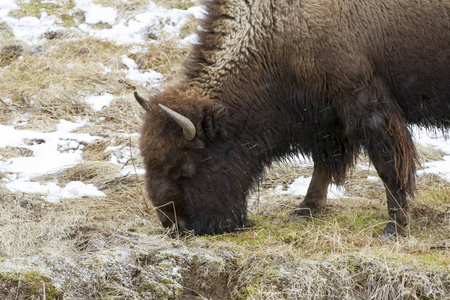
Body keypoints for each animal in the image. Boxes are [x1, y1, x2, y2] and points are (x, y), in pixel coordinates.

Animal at [135, 0, 448, 238]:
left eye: (186, 166)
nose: (175, 226)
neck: (275, 26)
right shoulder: (325, 118)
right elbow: (323, 164)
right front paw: (304, 210)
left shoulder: (366, 108)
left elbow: (389, 167)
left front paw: (394, 228)